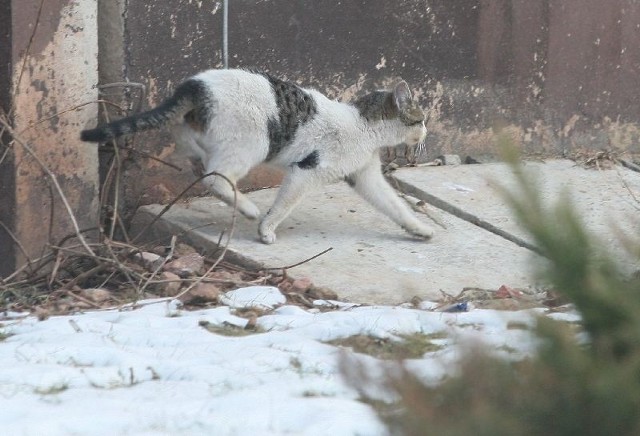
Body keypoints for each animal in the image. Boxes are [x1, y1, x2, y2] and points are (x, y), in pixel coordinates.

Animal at [81, 70, 436, 244]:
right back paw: (249, 209)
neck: (365, 126)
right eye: (420, 120)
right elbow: (284, 204)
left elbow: (394, 205)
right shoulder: (308, 170)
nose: (426, 133)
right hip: (250, 145)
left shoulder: (365, 174)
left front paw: (419, 229)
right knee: (215, 179)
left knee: (197, 160)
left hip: (196, 134)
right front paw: (266, 228)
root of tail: (194, 87)